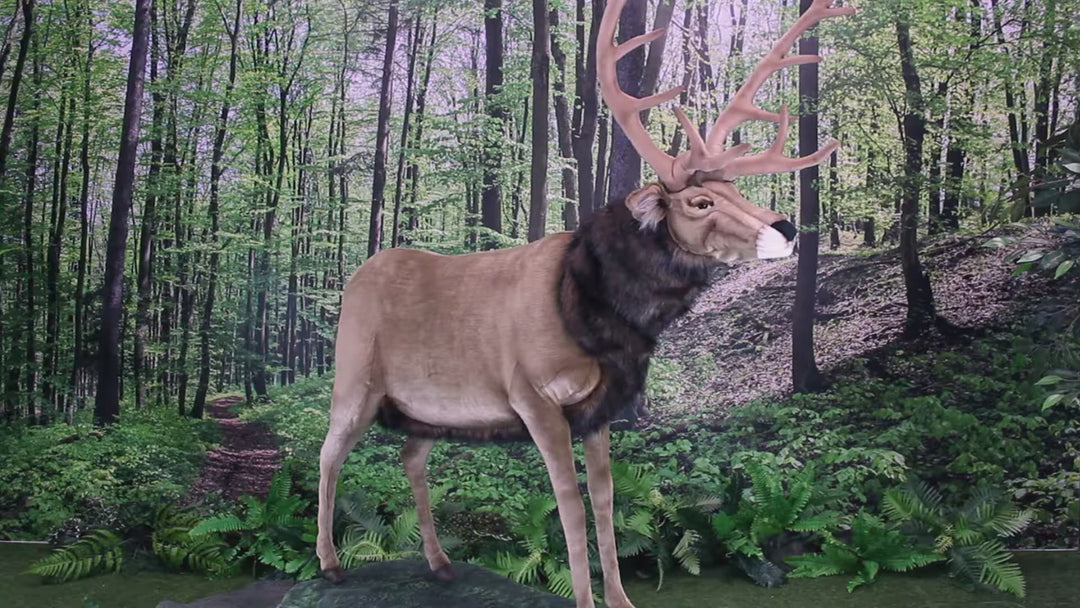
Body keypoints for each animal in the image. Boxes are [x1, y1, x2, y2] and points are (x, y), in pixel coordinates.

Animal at [315, 1, 854, 606]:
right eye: (699, 201)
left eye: (737, 190)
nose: (785, 227)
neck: (597, 322)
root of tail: (357, 276)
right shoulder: (532, 395)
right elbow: (568, 507)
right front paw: (584, 597)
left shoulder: (600, 409)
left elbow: (605, 501)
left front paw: (620, 598)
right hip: (354, 376)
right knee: (327, 451)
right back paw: (330, 563)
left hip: (430, 411)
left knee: (409, 455)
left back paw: (441, 564)